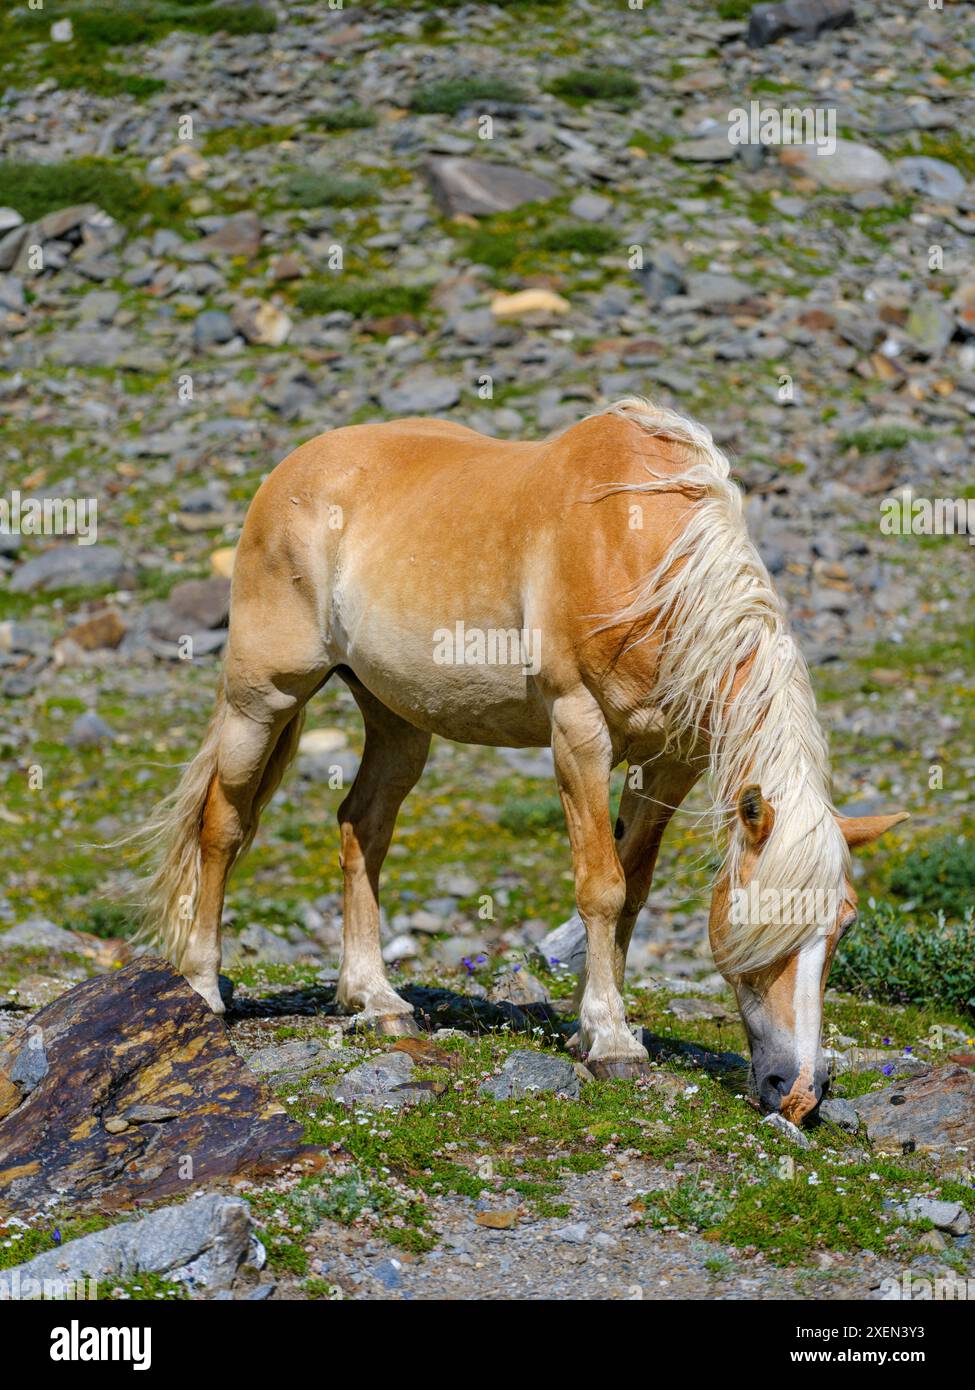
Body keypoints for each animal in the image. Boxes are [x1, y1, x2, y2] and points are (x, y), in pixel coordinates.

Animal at [133, 397, 908, 1125]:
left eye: (843, 926)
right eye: (761, 914)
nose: (798, 1093)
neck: (640, 554)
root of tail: (290, 471)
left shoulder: (670, 762)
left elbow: (633, 891)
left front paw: (593, 1027)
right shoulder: (579, 734)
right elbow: (602, 887)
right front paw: (613, 1044)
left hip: (396, 721)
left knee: (362, 827)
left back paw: (374, 998)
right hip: (261, 700)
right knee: (222, 826)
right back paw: (202, 987)